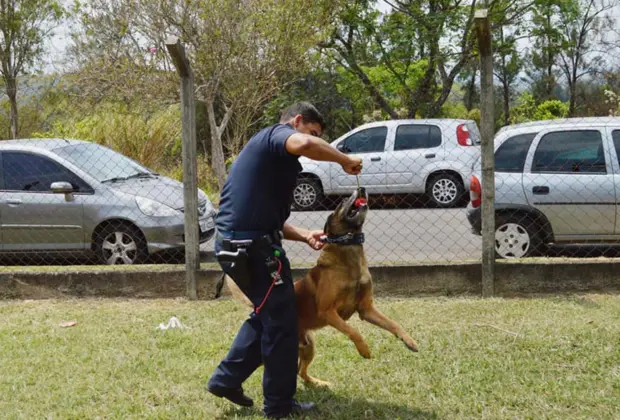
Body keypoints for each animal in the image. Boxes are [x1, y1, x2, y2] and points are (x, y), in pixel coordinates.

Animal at [216, 188, 418, 388]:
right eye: (342, 201)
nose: (362, 189)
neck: (348, 257)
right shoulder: (328, 312)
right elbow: (353, 331)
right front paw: (364, 349)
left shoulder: (366, 309)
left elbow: (393, 324)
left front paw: (410, 341)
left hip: (309, 346)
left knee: (300, 372)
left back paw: (319, 383)